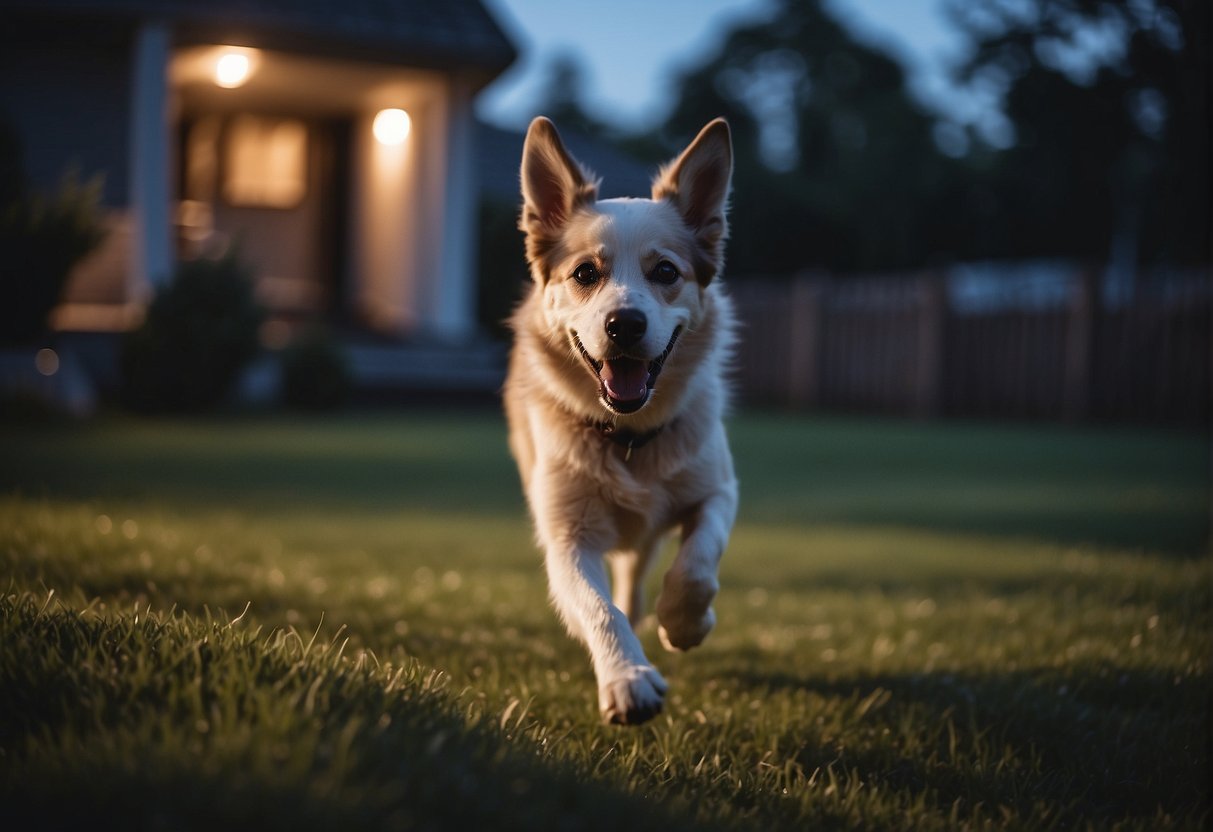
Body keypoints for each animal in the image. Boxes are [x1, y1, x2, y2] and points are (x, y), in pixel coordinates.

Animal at [504, 115, 737, 722]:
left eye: (666, 271)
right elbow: (598, 608)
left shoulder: (718, 491)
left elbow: (697, 565)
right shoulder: (566, 538)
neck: (628, 438)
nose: (625, 324)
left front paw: (685, 624)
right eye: (586, 272)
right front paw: (627, 678)